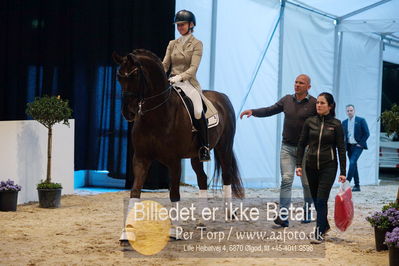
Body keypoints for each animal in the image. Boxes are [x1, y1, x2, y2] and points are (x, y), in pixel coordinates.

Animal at [111, 48, 244, 240]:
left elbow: (174, 193)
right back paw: (202, 221)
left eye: (135, 75)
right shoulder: (141, 158)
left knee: (226, 176)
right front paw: (126, 234)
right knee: (202, 179)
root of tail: (222, 97)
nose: (128, 112)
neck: (156, 115)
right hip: (197, 155)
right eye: (119, 76)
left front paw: (175, 230)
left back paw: (229, 213)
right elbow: (135, 191)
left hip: (224, 147)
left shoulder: (173, 161)